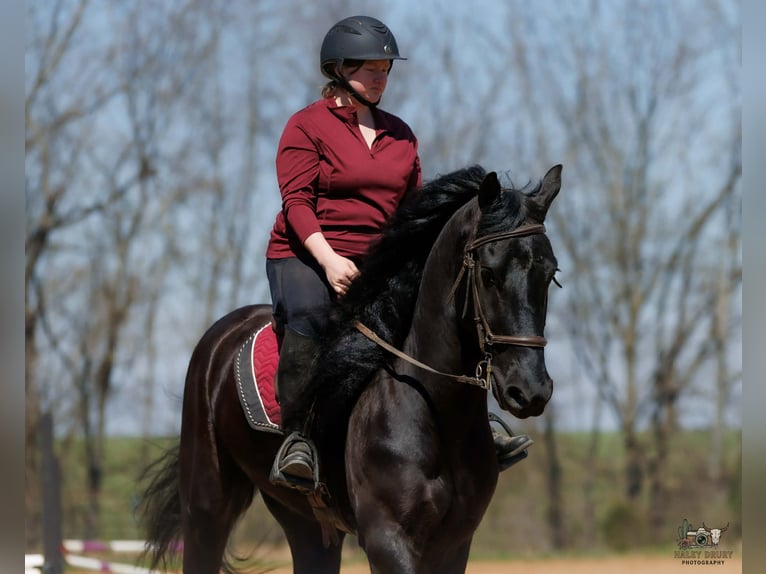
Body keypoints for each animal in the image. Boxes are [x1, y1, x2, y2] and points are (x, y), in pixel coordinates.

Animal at [139, 163, 562, 574]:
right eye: (488, 275)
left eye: (550, 274)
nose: (529, 391)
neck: (433, 410)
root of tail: (223, 334)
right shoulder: (387, 541)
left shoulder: (454, 545)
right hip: (206, 506)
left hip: (305, 524)